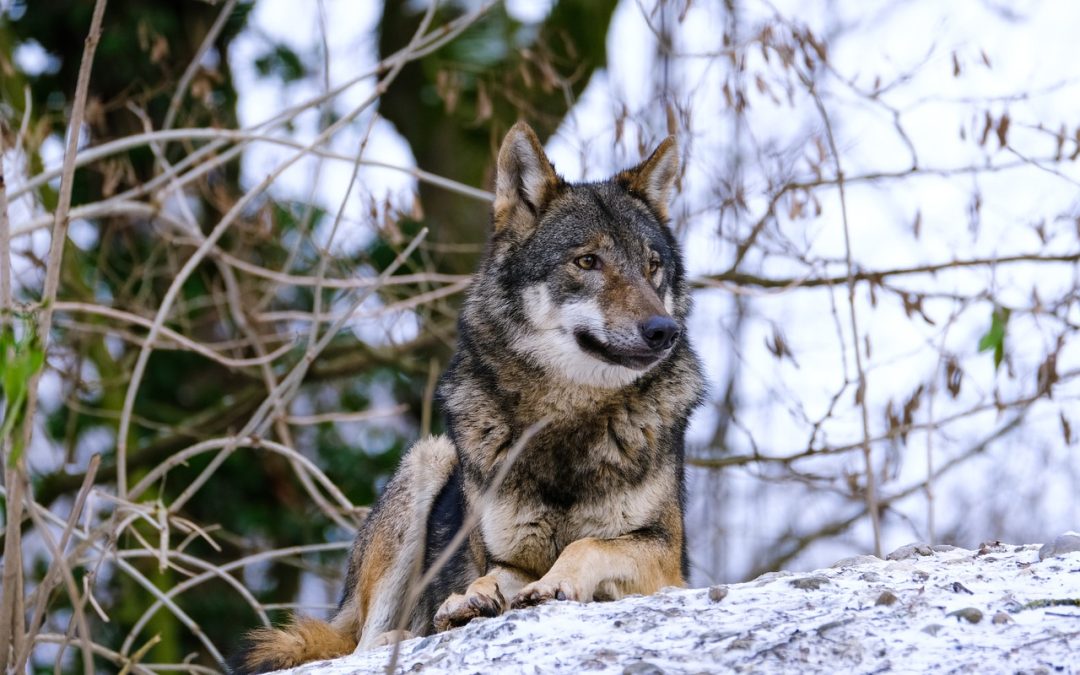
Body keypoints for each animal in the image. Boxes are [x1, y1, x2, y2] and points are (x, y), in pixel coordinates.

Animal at [231, 123, 704, 669]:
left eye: (652, 267)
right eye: (588, 261)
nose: (664, 331)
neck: (566, 422)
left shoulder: (667, 560)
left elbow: (587, 546)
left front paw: (553, 583)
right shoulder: (503, 556)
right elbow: (492, 575)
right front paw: (470, 599)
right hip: (428, 460)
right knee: (362, 646)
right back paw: (408, 632)